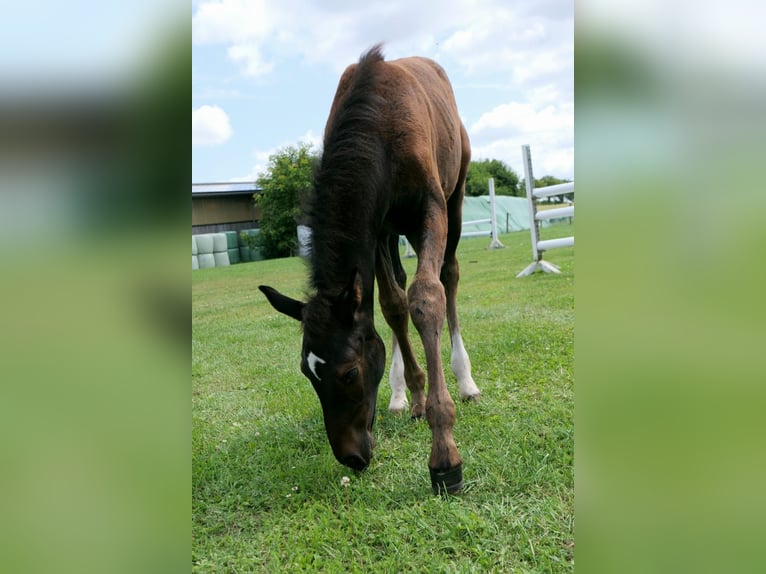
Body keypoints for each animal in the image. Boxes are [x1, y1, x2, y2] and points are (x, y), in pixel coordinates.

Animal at [260, 45, 484, 496]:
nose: (352, 457)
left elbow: (426, 298)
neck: (378, 128)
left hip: (456, 196)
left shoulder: (430, 208)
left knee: (448, 276)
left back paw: (465, 381)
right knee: (396, 288)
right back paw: (400, 397)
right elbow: (394, 305)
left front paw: (444, 455)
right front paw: (415, 395)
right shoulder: (376, 228)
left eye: (348, 372)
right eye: (306, 373)